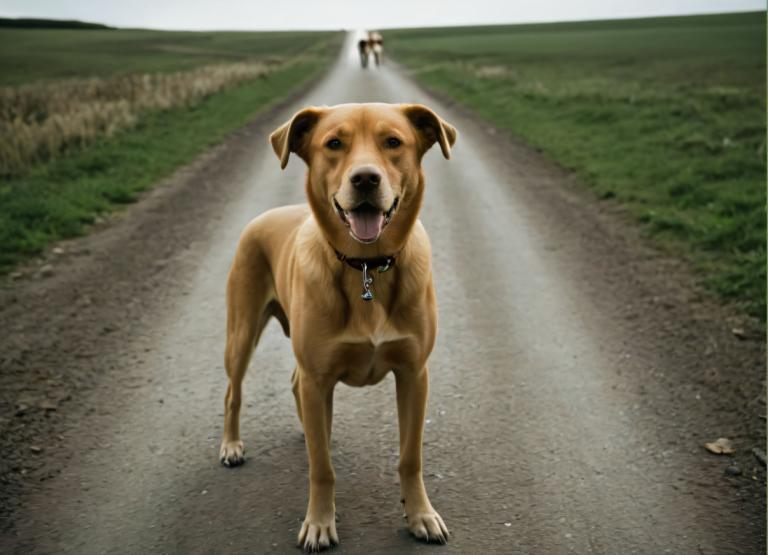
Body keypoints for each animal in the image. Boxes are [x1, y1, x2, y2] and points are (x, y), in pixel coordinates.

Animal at [219, 101, 456, 552]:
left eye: (393, 142)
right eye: (333, 144)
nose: (365, 178)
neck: (367, 267)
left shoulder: (414, 373)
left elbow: (410, 456)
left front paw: (420, 515)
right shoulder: (318, 376)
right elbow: (322, 468)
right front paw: (319, 523)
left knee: (295, 388)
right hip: (241, 330)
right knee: (233, 392)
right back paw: (231, 444)